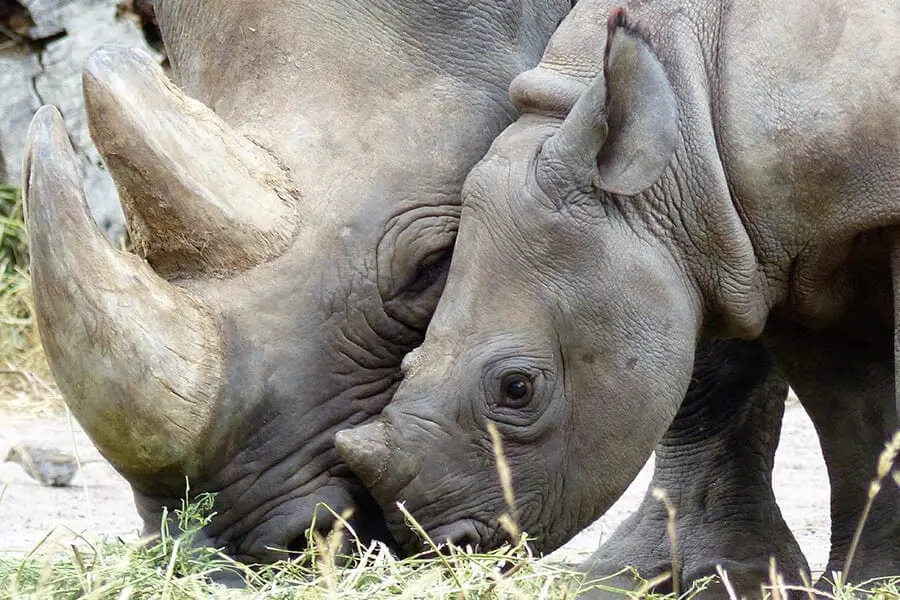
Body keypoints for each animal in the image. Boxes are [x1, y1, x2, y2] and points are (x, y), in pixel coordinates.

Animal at [338, 0, 900, 592]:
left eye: (517, 388)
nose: (437, 547)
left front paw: (870, 582)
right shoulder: (784, 242)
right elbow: (853, 421)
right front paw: (867, 582)